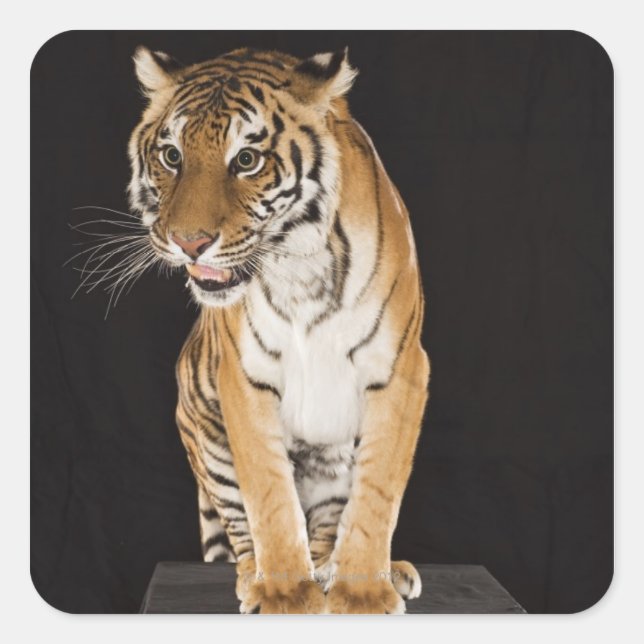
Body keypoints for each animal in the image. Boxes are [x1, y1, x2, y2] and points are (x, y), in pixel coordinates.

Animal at [127, 45, 430, 614]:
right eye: (172, 156)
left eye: (246, 160)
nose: (188, 242)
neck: (299, 266)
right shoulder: (244, 378)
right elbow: (268, 492)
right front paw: (285, 595)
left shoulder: (401, 371)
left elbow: (378, 492)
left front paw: (361, 594)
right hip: (207, 439)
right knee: (243, 527)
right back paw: (257, 576)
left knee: (329, 525)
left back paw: (356, 570)